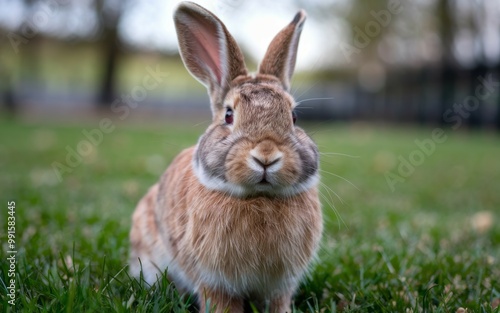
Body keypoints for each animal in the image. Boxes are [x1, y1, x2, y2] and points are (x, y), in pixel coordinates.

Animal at [129, 1, 322, 310]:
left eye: (293, 117)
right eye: (229, 115)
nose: (266, 155)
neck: (259, 198)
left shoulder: (280, 286)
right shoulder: (214, 282)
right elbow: (221, 303)